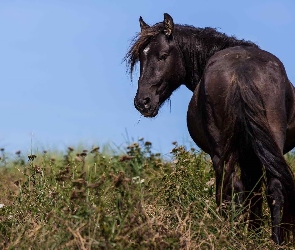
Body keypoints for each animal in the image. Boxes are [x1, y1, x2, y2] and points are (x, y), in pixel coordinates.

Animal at [126, 13, 295, 244]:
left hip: (223, 153)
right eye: (141, 59)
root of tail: (242, 70)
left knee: (231, 188)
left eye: (163, 55)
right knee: (270, 187)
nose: (142, 102)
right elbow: (254, 193)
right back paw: (274, 240)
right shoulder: (251, 155)